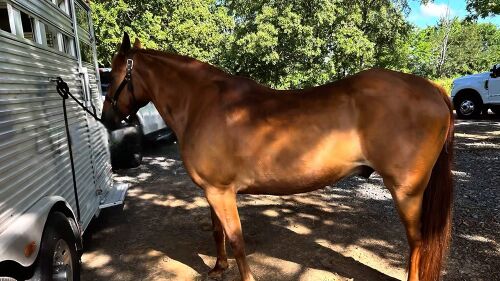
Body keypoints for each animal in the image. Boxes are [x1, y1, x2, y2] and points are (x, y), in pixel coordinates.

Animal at [101, 33, 454, 280]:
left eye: (115, 75)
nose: (106, 118)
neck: (201, 104)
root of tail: (434, 89)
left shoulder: (221, 192)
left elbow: (237, 239)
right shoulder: (211, 191)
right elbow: (218, 232)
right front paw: (218, 267)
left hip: (407, 192)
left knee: (417, 242)